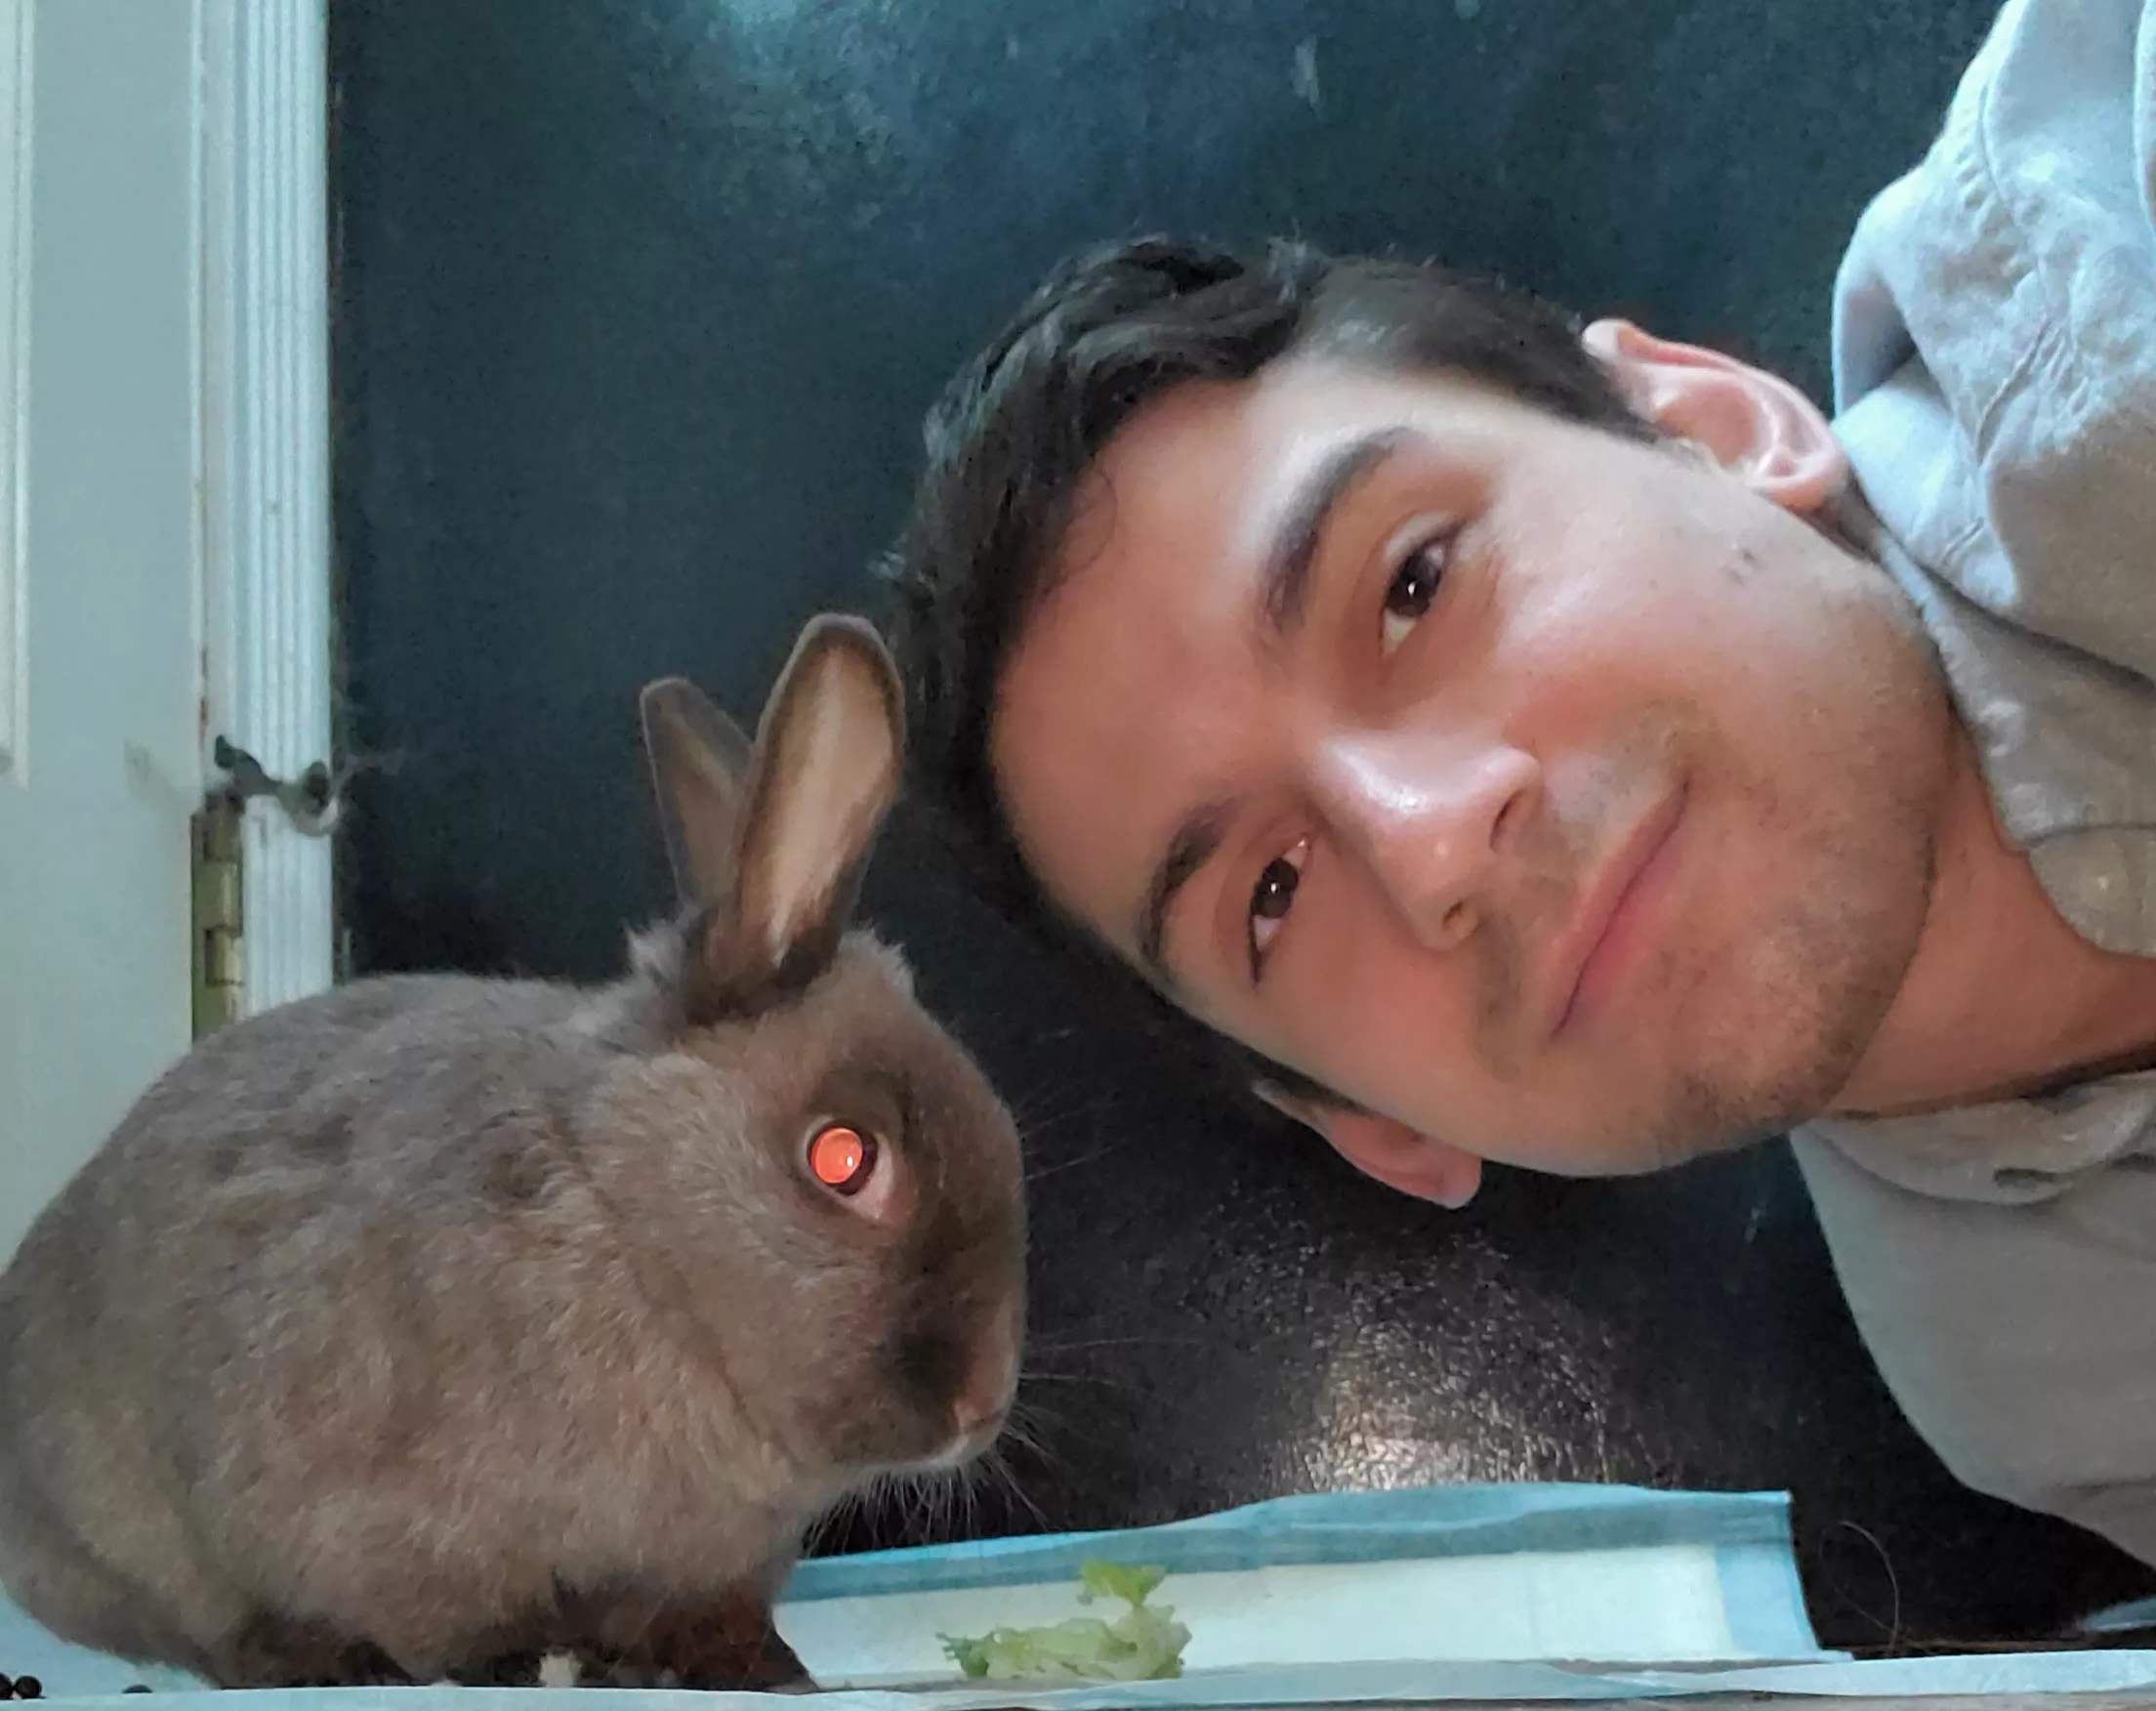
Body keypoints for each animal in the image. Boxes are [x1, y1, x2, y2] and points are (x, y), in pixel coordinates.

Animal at [0, 613, 1026, 1691]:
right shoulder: (380, 1526)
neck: (631, 1222)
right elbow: (455, 1622)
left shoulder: (708, 1571)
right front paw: (527, 1664)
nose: (980, 1407)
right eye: (842, 1160)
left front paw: (766, 1673)